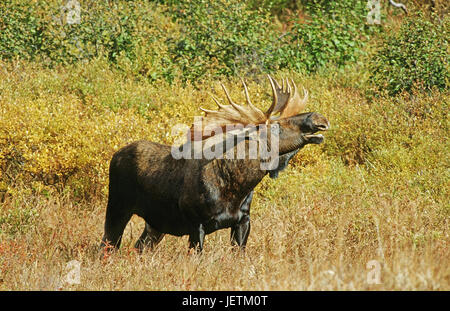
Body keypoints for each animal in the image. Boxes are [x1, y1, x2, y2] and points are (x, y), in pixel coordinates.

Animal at [99, 75, 330, 254]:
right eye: (277, 126)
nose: (320, 118)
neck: (236, 187)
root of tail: (115, 156)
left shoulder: (243, 220)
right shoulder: (196, 224)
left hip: (155, 224)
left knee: (139, 247)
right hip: (117, 207)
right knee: (107, 245)